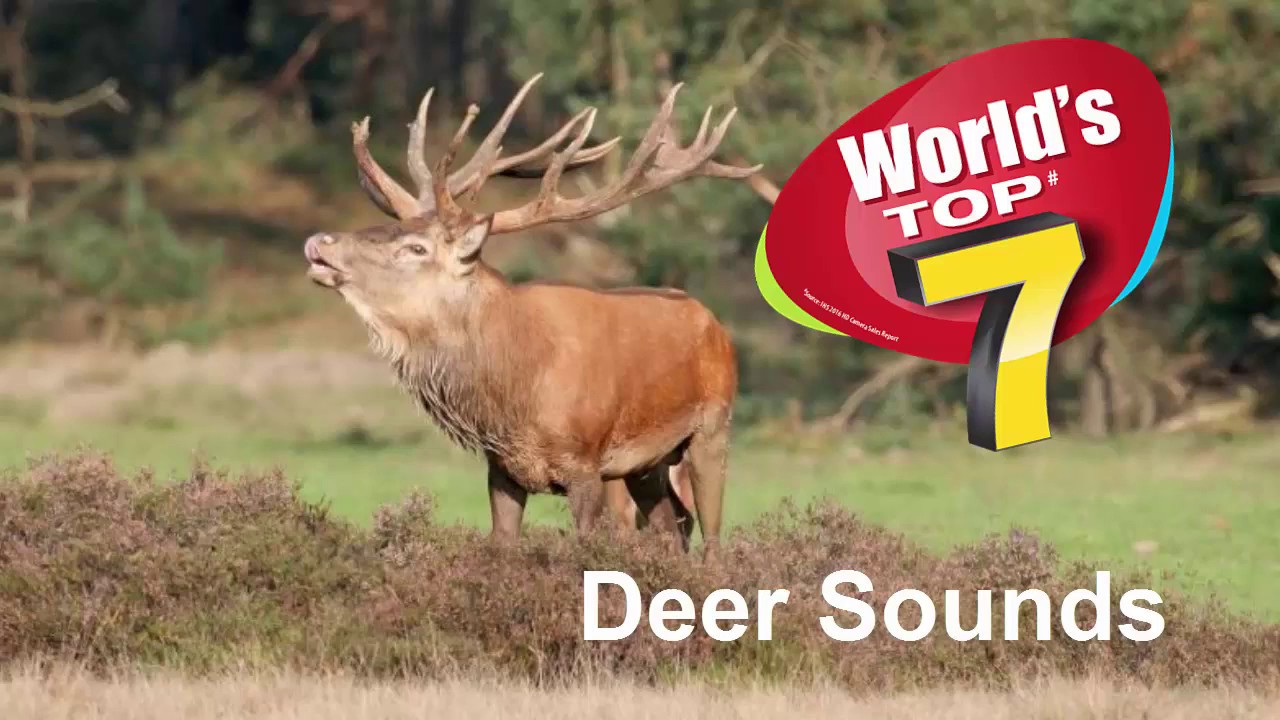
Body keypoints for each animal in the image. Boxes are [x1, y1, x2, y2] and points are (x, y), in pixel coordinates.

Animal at [302, 73, 760, 553]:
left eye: (416, 248)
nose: (321, 242)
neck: (514, 394)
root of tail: (716, 325)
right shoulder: (501, 469)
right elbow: (502, 544)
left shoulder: (587, 465)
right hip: (646, 464)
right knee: (674, 524)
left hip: (712, 427)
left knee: (709, 533)